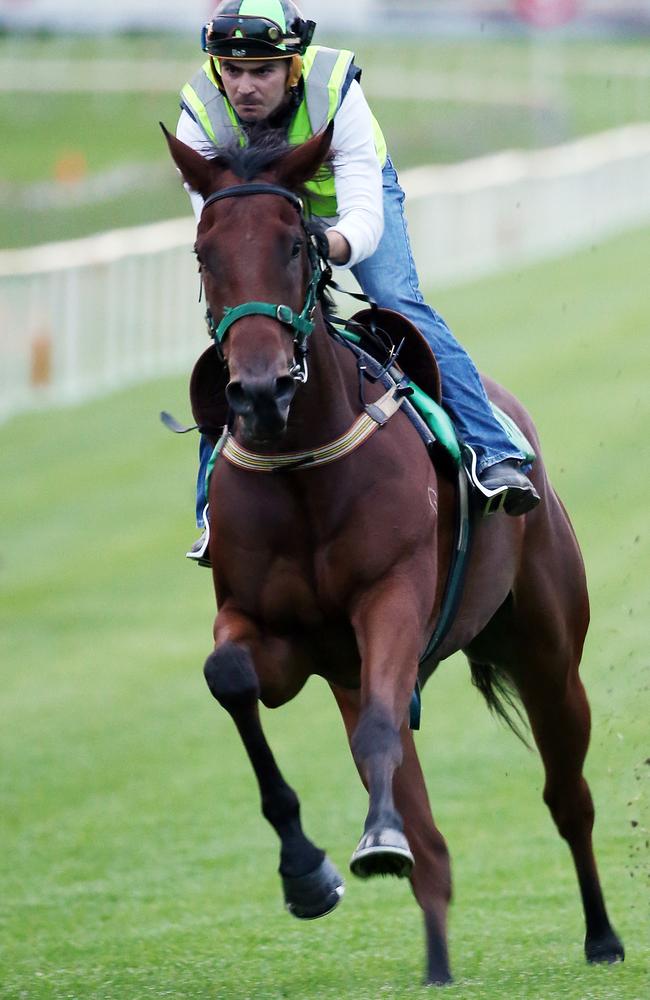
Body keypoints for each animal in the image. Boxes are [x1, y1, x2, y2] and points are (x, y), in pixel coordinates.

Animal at [162, 123, 624, 984]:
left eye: (296, 246)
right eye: (205, 252)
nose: (260, 391)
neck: (302, 465)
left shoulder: (393, 598)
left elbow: (382, 725)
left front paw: (373, 843)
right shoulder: (274, 632)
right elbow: (231, 679)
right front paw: (306, 872)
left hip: (547, 647)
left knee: (566, 795)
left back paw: (603, 936)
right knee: (433, 846)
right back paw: (436, 958)